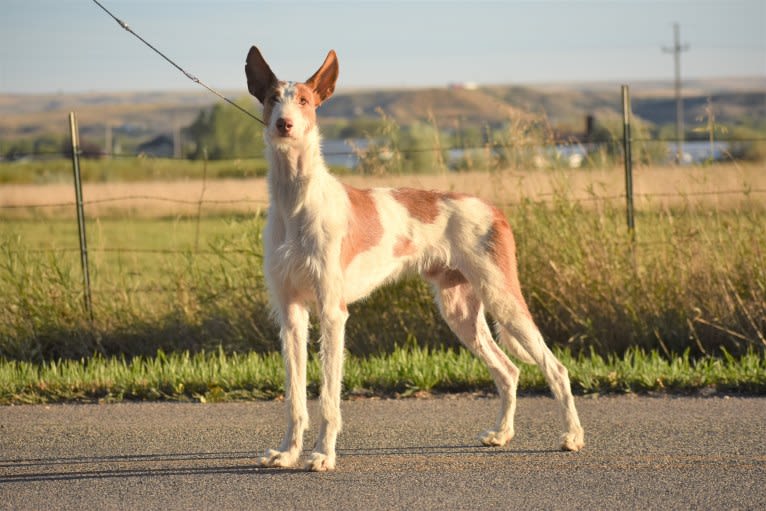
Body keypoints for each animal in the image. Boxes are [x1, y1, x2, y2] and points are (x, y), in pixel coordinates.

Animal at [246, 47, 588, 472]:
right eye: (272, 98)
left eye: (306, 101)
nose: (285, 124)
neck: (295, 201)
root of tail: (493, 208)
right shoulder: (291, 313)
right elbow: (294, 397)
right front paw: (288, 452)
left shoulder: (332, 312)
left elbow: (328, 398)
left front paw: (324, 454)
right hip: (460, 311)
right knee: (508, 371)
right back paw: (502, 434)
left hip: (503, 298)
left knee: (555, 368)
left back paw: (573, 436)